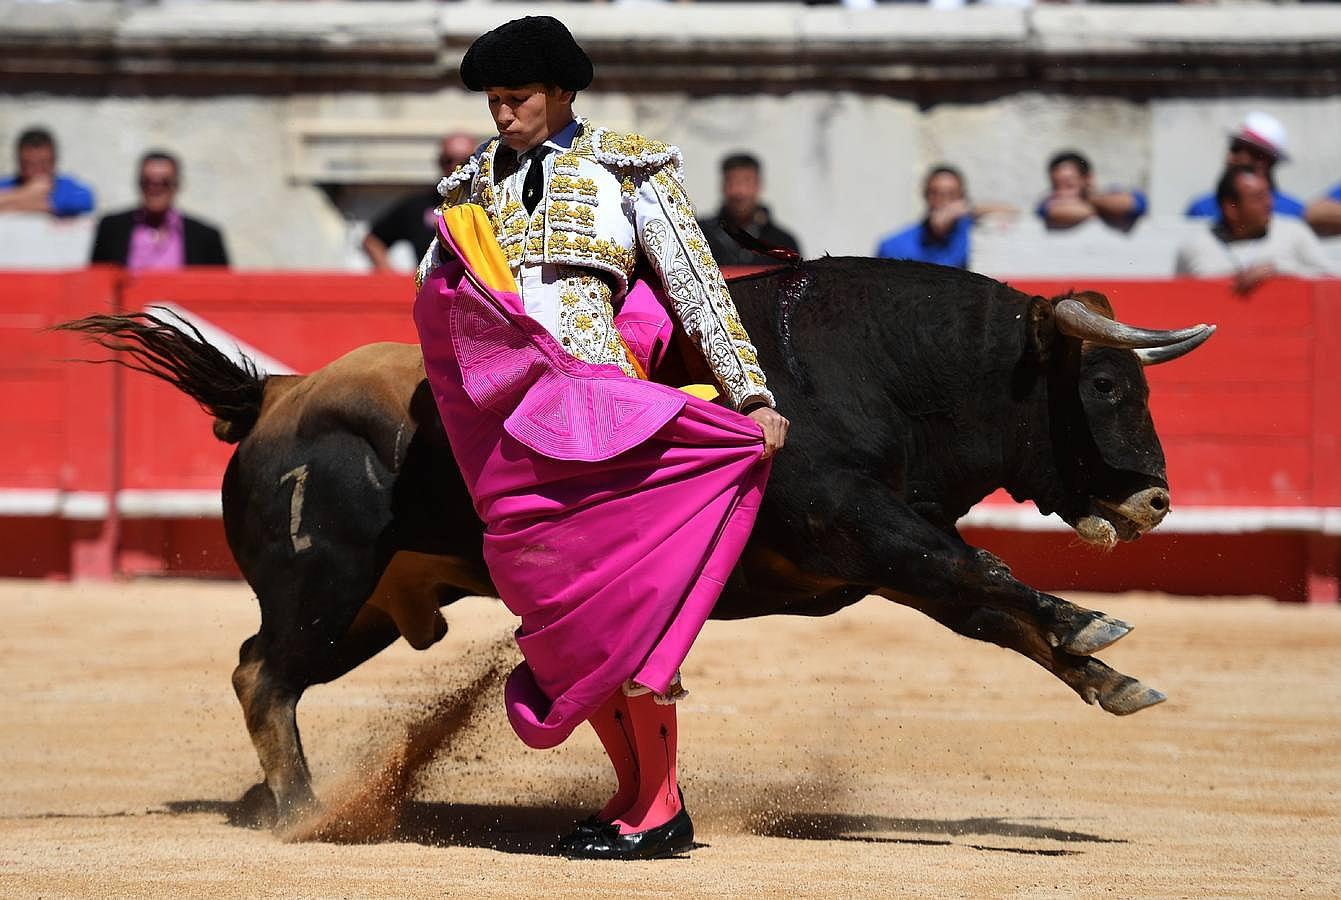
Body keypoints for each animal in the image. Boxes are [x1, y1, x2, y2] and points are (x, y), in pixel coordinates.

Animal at [60, 254, 1217, 831]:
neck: (878, 361)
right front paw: (1092, 625)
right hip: (322, 583)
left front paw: (1107, 676)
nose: (1158, 502)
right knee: (264, 674)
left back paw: (288, 801)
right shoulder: (859, 523)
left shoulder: (878, 549)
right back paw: (301, 812)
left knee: (268, 671)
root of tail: (274, 392)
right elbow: (981, 572)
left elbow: (985, 604)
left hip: (371, 608)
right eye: (1106, 384)